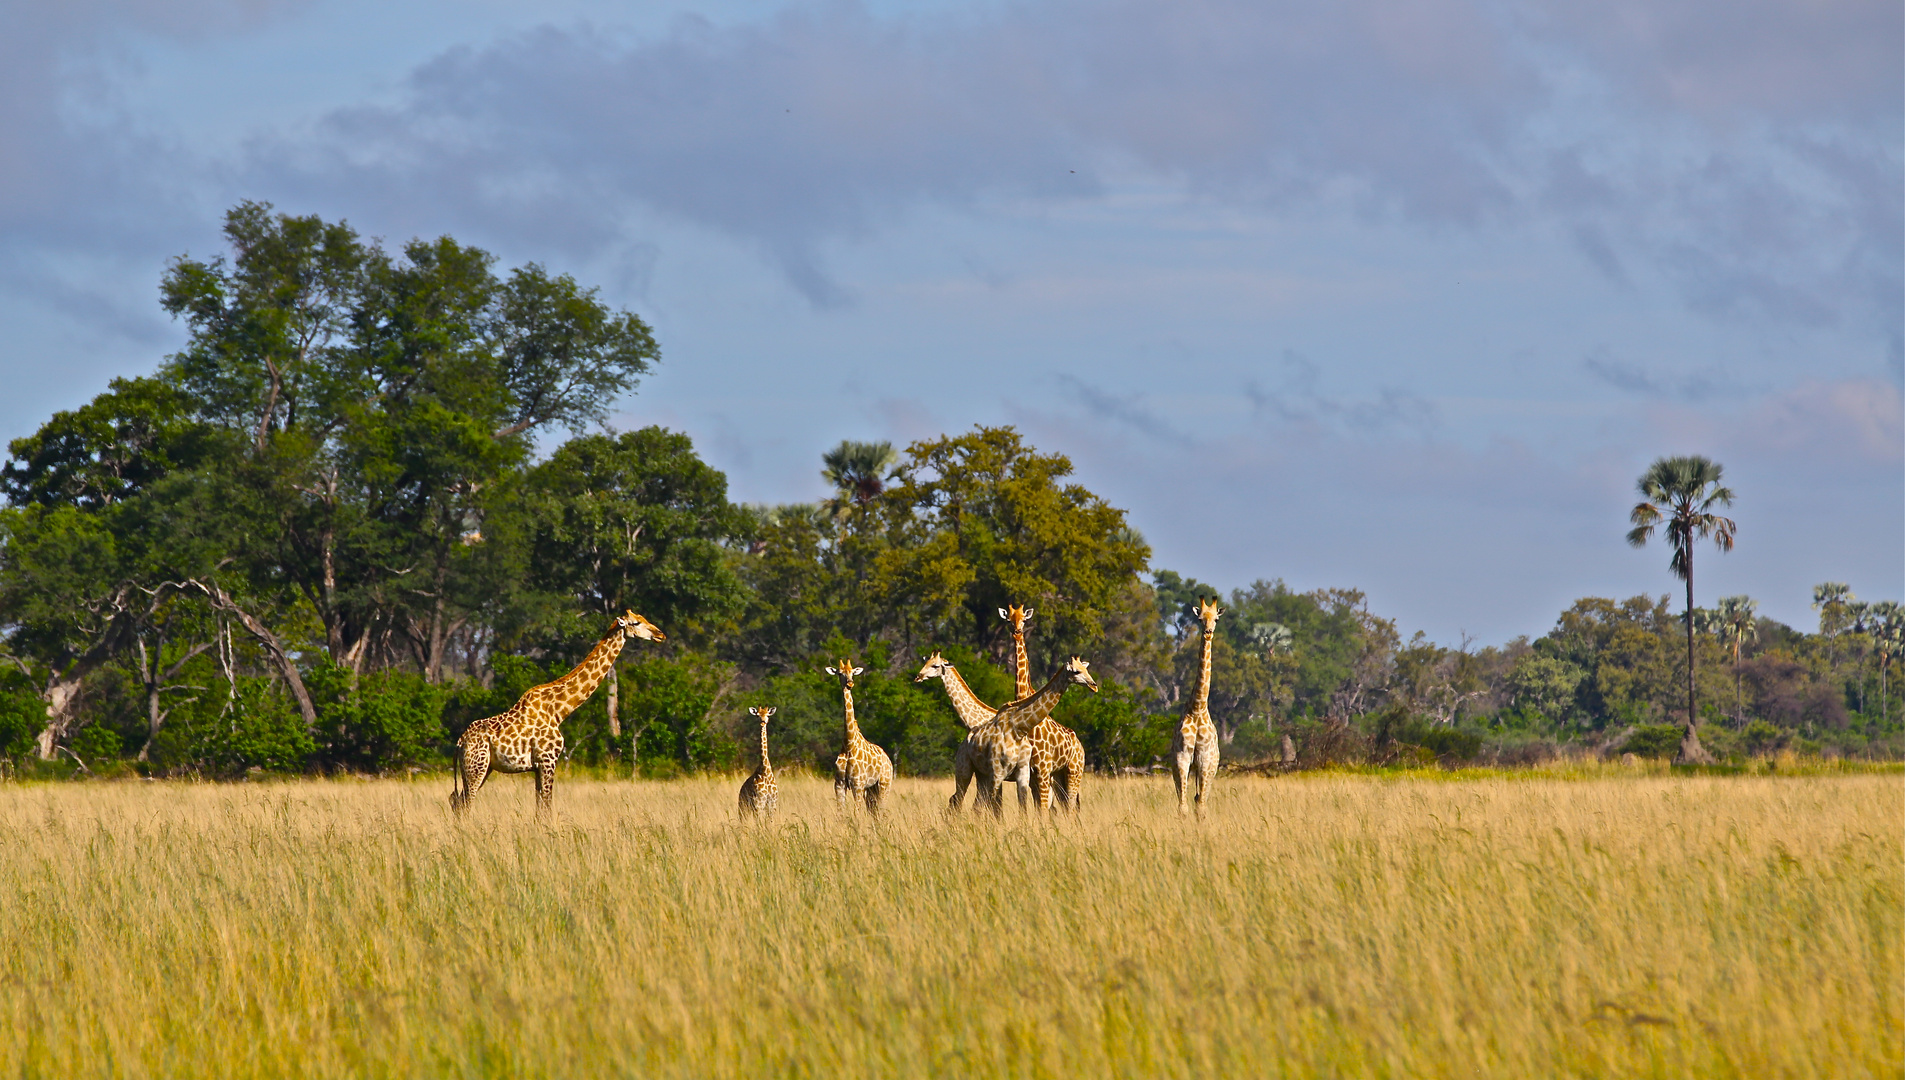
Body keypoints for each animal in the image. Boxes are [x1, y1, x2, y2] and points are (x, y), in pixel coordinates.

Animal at [449, 613, 666, 815]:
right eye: (636, 622)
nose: (660, 634)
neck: (559, 711)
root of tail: (460, 742)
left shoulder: (538, 765)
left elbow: (540, 808)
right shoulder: (548, 759)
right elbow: (546, 807)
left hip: (482, 769)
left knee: (457, 802)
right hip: (476, 767)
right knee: (465, 804)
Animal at [826, 659, 891, 819]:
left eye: (852, 672)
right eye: (840, 673)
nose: (850, 684)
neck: (849, 745)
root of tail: (889, 760)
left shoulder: (858, 784)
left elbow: (857, 812)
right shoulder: (839, 783)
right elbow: (841, 812)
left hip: (884, 785)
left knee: (881, 809)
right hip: (872, 788)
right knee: (873, 810)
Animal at [1005, 609, 1097, 811]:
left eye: (1024, 619)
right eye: (1009, 619)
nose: (1094, 686)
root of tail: (1081, 747)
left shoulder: (1043, 768)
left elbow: (1043, 807)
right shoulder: (1032, 771)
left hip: (1073, 772)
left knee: (1069, 806)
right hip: (1059, 776)